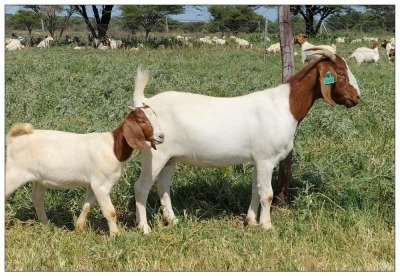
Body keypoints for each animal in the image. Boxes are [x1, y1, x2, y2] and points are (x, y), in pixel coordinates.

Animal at [5, 101, 164, 235]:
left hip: (39, 179)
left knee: (37, 198)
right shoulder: (101, 185)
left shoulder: (93, 184)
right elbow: (110, 212)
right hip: (15, 174)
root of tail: (13, 140)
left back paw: (46, 224)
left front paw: (79, 227)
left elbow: (87, 205)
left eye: (156, 117)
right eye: (142, 121)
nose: (161, 136)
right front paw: (116, 235)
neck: (113, 147)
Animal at [133, 49, 360, 233]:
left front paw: (250, 221)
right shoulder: (267, 159)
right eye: (340, 73)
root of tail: (145, 103)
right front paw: (267, 226)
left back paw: (172, 220)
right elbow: (267, 194)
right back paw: (144, 228)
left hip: (170, 157)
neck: (284, 106)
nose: (357, 98)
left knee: (162, 185)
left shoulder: (257, 159)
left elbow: (256, 190)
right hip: (155, 154)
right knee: (141, 187)